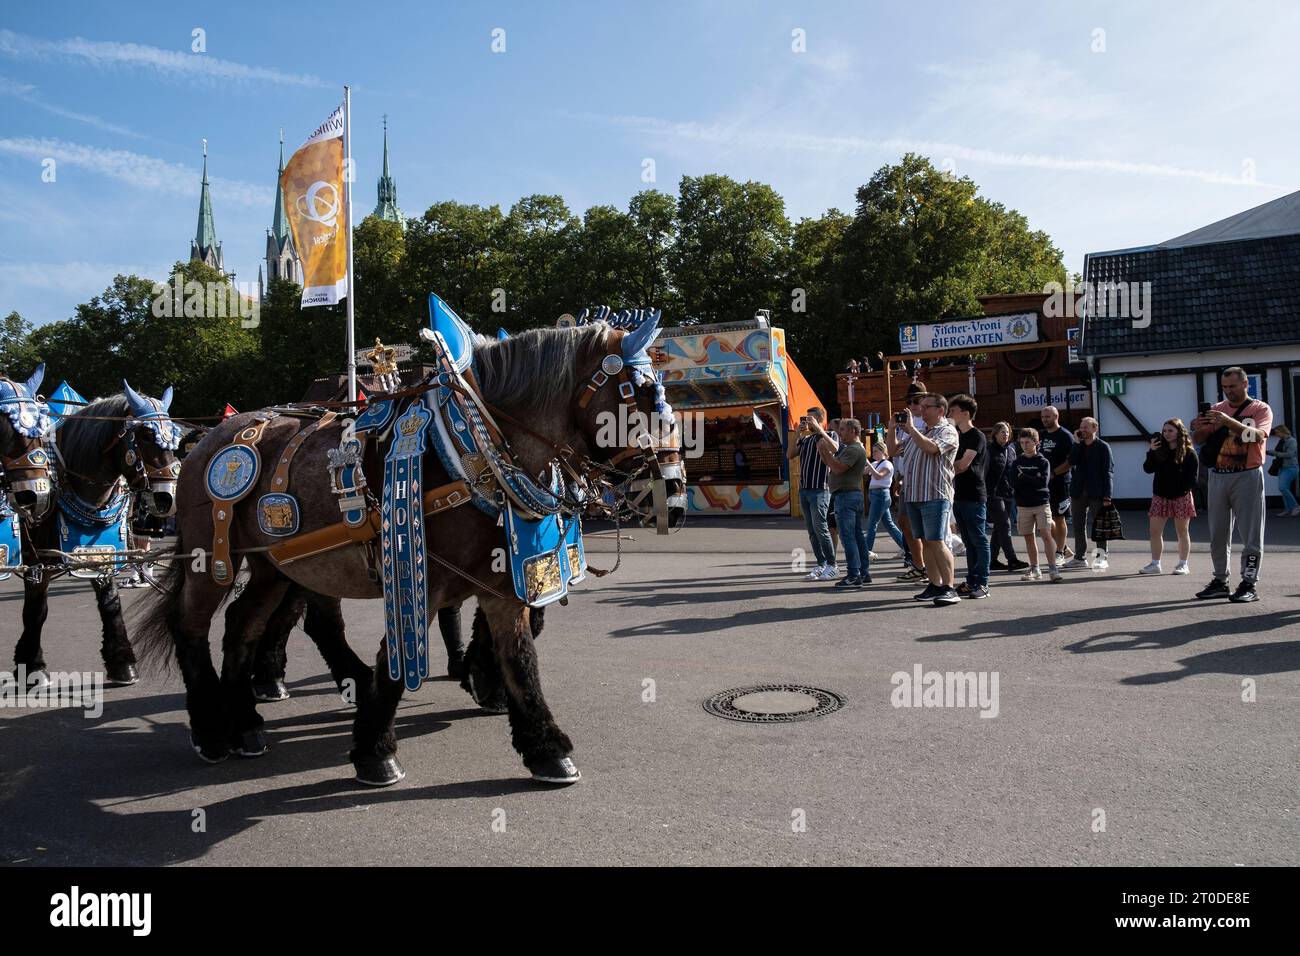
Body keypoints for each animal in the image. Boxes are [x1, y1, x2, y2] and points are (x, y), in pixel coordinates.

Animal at [135, 321, 686, 785]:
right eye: (638, 391)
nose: (674, 491)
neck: (471, 448)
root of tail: (209, 439)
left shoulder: (502, 583)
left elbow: (520, 656)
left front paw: (544, 746)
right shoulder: (421, 575)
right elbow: (393, 660)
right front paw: (375, 751)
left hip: (274, 565)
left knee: (242, 627)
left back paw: (245, 723)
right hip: (212, 558)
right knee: (193, 626)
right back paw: (211, 729)